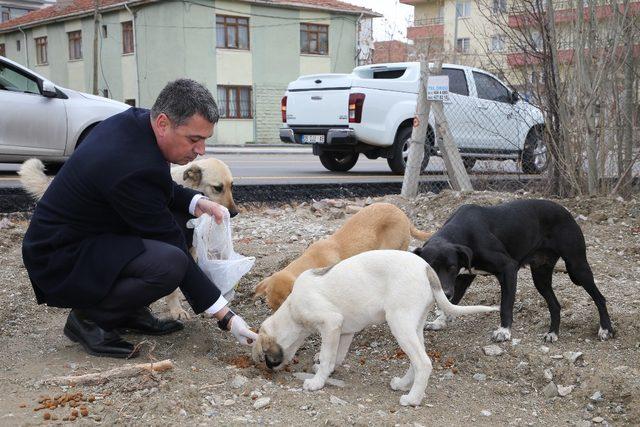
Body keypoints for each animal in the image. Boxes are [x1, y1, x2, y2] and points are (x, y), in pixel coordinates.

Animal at [18, 157, 238, 320]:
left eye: (232, 186)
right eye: (218, 188)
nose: (234, 213)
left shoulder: (191, 248)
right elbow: (177, 284)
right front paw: (176, 309)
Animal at [251, 251, 500, 408]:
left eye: (264, 355)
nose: (269, 370)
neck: (292, 309)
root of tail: (426, 267)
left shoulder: (331, 323)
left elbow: (327, 355)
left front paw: (317, 382)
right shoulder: (344, 331)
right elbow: (335, 357)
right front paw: (327, 371)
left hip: (399, 323)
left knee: (424, 363)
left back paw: (412, 399)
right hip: (414, 326)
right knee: (416, 361)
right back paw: (403, 385)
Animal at [416, 199, 616, 342]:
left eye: (451, 267)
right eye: (430, 269)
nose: (445, 292)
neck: (463, 232)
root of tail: (567, 212)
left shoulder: (508, 269)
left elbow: (506, 305)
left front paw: (504, 331)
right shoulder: (464, 277)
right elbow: (451, 302)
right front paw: (439, 322)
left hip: (577, 268)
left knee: (600, 298)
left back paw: (606, 329)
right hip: (541, 277)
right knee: (555, 304)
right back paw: (553, 333)